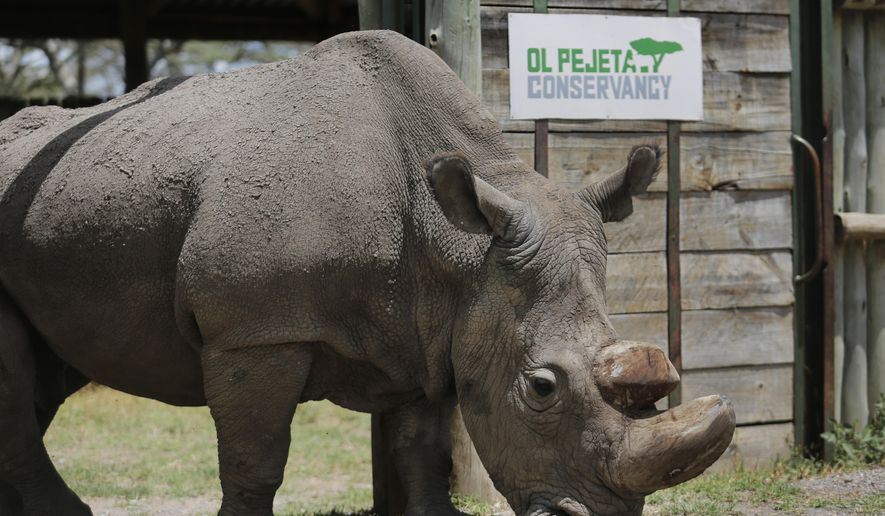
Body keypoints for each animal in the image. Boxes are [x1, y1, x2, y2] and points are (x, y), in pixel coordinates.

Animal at [0, 30, 735, 516]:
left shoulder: (433, 325)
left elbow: (422, 448)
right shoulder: (256, 329)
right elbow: (254, 461)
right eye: (541, 388)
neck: (456, 246)